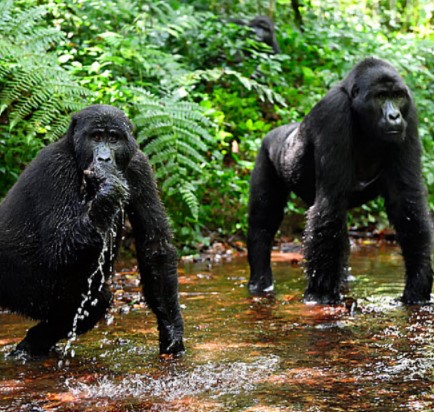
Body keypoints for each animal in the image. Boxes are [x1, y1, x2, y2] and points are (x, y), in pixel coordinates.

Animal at [0, 104, 185, 358]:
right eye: (96, 137)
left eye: (113, 139)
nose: (104, 158)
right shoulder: (54, 167)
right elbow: (58, 246)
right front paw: (109, 190)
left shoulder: (139, 165)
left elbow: (155, 247)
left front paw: (171, 328)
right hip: (21, 289)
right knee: (96, 298)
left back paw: (32, 344)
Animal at [248, 57, 434, 302]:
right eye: (380, 96)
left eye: (398, 96)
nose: (394, 116)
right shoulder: (334, 112)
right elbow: (330, 204)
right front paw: (320, 295)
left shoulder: (409, 115)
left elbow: (406, 200)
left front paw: (418, 285)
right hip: (268, 151)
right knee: (263, 221)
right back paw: (260, 282)